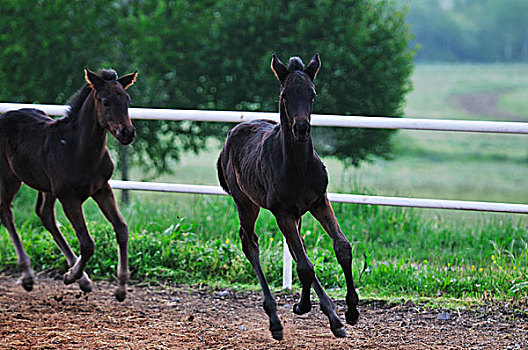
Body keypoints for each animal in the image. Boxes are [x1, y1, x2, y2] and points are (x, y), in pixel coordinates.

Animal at [0, 67, 138, 300]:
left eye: (127, 100)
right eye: (105, 101)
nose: (127, 133)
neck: (79, 148)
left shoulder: (102, 189)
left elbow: (122, 229)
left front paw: (120, 288)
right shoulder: (69, 198)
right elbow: (87, 244)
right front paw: (70, 276)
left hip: (46, 187)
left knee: (44, 214)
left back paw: (83, 280)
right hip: (9, 178)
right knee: (6, 212)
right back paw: (28, 276)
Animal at [217, 54, 360, 340]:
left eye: (312, 93)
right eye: (284, 95)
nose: (301, 128)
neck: (298, 167)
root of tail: (230, 135)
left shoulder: (319, 201)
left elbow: (341, 248)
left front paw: (350, 311)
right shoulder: (282, 211)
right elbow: (305, 265)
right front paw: (303, 306)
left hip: (295, 213)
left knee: (297, 248)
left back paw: (333, 317)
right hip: (245, 202)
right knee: (250, 243)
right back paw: (275, 319)